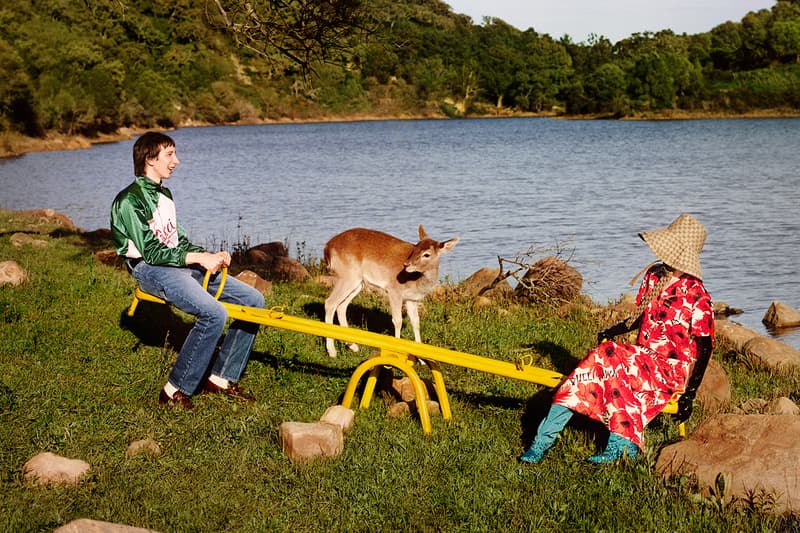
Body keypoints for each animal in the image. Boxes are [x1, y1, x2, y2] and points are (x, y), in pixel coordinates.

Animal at [322, 224, 460, 358]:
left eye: (427, 254)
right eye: (415, 248)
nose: (406, 264)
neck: (416, 282)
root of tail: (327, 248)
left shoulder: (411, 299)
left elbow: (416, 322)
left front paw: (421, 359)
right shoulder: (394, 290)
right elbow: (397, 320)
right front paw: (396, 351)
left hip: (358, 283)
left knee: (341, 306)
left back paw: (353, 346)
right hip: (348, 276)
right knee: (330, 303)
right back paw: (332, 351)